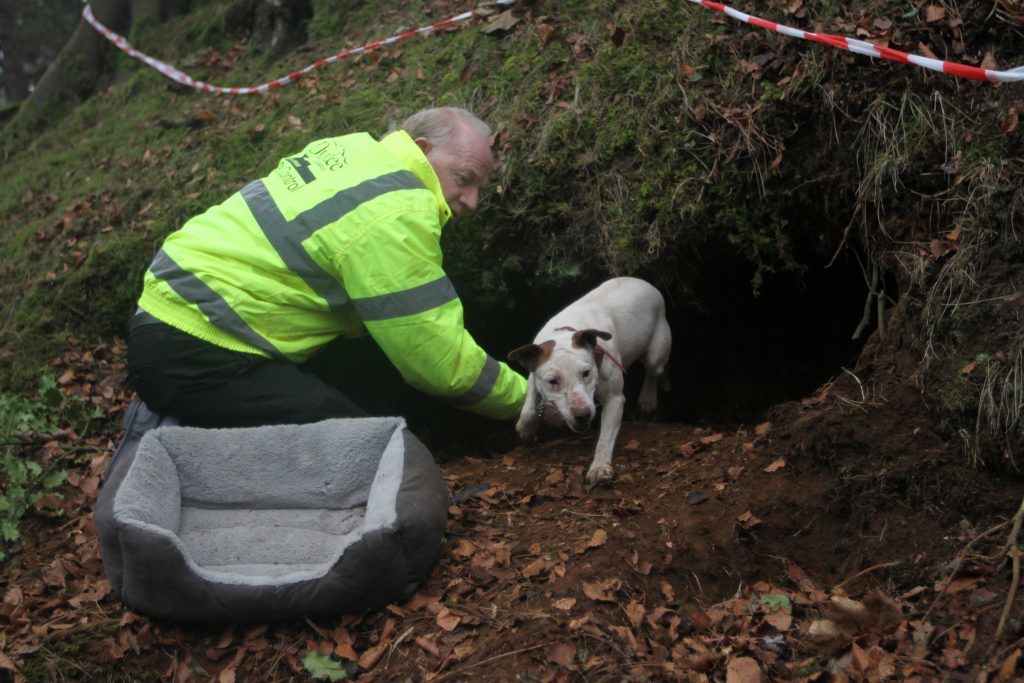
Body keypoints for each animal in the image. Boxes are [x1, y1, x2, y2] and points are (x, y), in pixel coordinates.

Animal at [505, 274, 671, 483]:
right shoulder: (533, 374)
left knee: (653, 371)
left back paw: (648, 399)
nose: (582, 414)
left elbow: (605, 438)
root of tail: (643, 281)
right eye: (552, 382)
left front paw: (600, 467)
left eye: (586, 373)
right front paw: (526, 429)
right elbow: (529, 407)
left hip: (657, 347)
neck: (564, 335)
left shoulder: (614, 399)